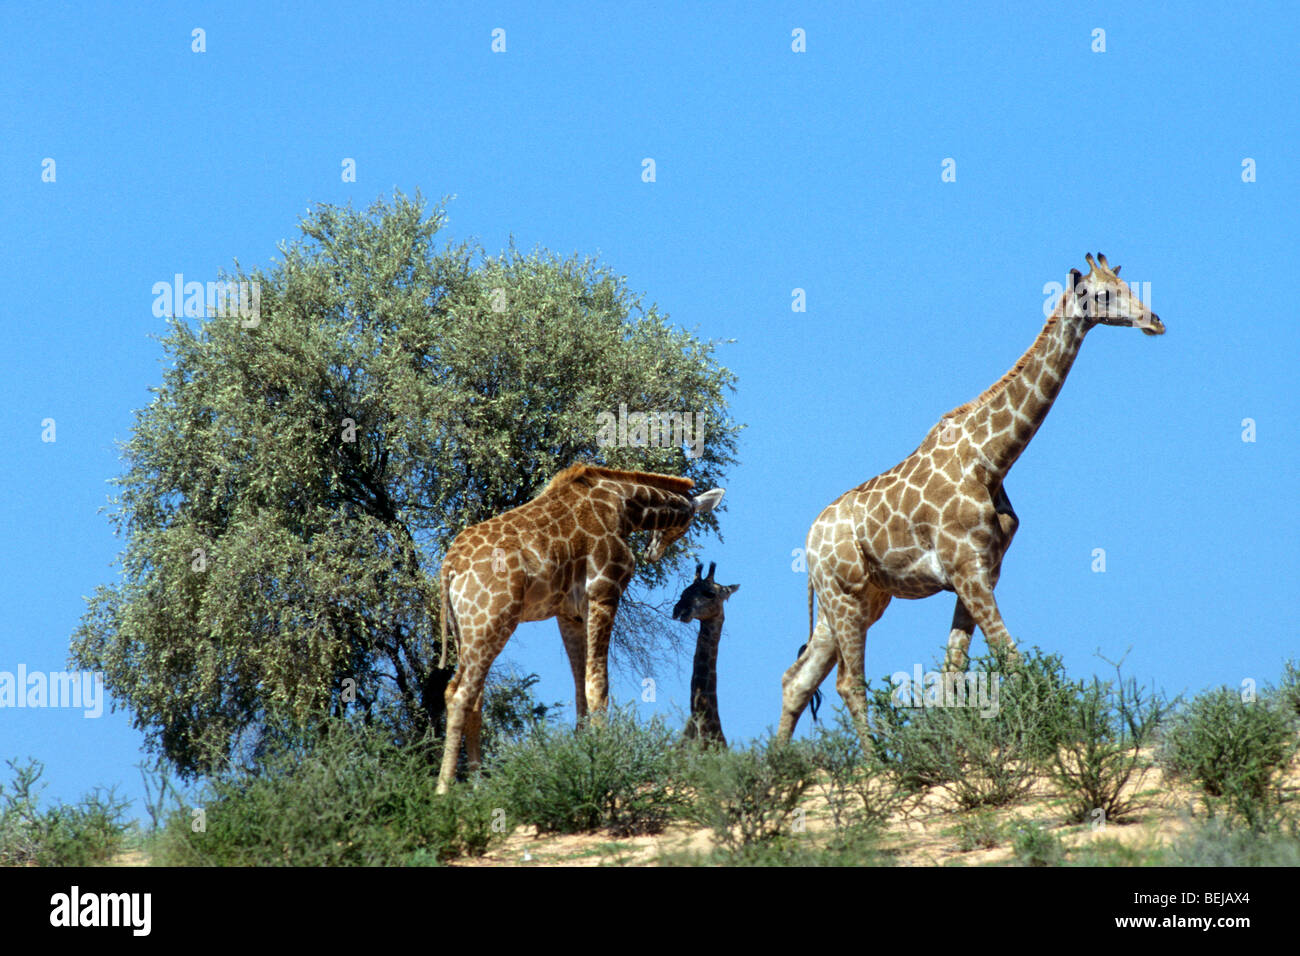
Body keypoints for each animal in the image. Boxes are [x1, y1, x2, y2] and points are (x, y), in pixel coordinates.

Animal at [436, 463, 725, 793]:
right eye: (687, 523)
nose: (653, 551)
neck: (626, 507)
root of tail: (449, 568)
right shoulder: (604, 593)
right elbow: (598, 685)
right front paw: (606, 762)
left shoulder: (569, 613)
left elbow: (579, 689)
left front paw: (585, 757)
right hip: (491, 619)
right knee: (460, 694)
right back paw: (444, 790)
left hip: (467, 629)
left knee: (472, 696)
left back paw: (477, 787)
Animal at [777, 253, 1164, 744]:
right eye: (1102, 294)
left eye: (1128, 286)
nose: (1154, 321)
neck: (992, 458)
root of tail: (808, 543)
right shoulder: (966, 569)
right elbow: (1010, 659)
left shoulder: (982, 573)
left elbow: (952, 675)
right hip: (843, 596)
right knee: (848, 683)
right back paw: (874, 759)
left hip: (856, 601)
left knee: (798, 679)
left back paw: (779, 763)